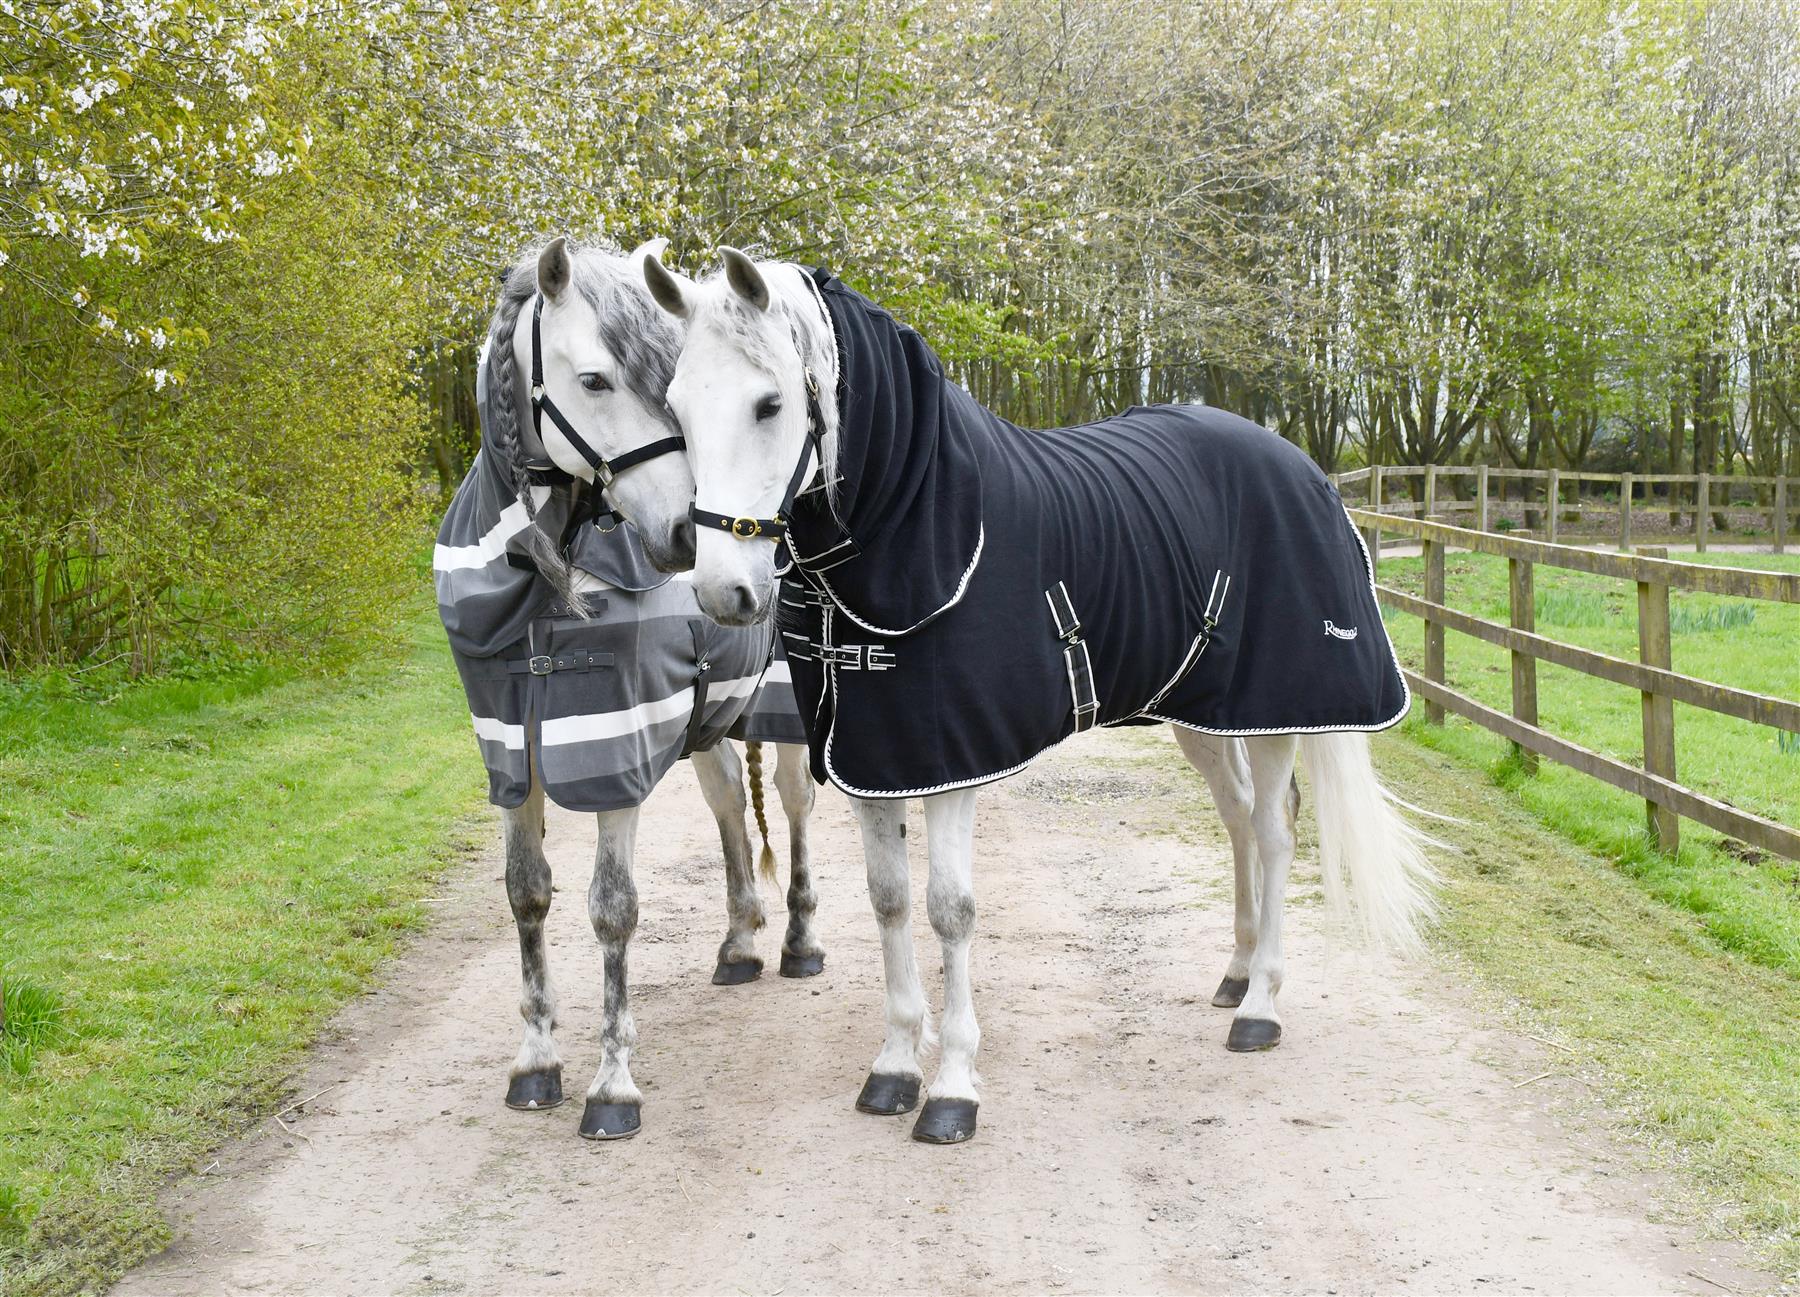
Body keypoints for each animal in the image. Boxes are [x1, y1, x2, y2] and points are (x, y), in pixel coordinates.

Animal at [434, 237, 824, 1141]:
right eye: (594, 380)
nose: (685, 535)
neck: (543, 586)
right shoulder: (513, 751)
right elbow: (527, 894)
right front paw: (536, 1060)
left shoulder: (613, 747)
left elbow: (612, 907)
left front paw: (613, 1083)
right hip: (709, 722)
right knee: (728, 806)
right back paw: (740, 943)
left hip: (785, 713)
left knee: (791, 810)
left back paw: (796, 939)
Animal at [638, 247, 1439, 1145]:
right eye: (676, 406)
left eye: (770, 403)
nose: (723, 591)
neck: (913, 528)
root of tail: (1305, 469)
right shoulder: (875, 759)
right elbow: (889, 901)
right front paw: (894, 1067)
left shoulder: (947, 762)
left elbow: (949, 909)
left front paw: (952, 1088)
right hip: (1205, 709)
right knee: (1236, 816)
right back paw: (1234, 973)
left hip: (1276, 713)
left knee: (1273, 830)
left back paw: (1260, 1005)